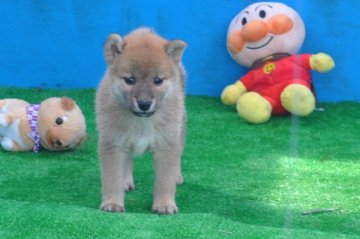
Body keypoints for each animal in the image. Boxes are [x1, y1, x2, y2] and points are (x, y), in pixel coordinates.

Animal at [95, 27, 187, 214]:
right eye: (130, 80)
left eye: (157, 80)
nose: (144, 104)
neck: (141, 122)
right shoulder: (113, 144)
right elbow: (112, 179)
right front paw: (112, 202)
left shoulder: (166, 145)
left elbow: (164, 181)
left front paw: (164, 204)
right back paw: (126, 180)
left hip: (180, 132)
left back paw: (177, 175)